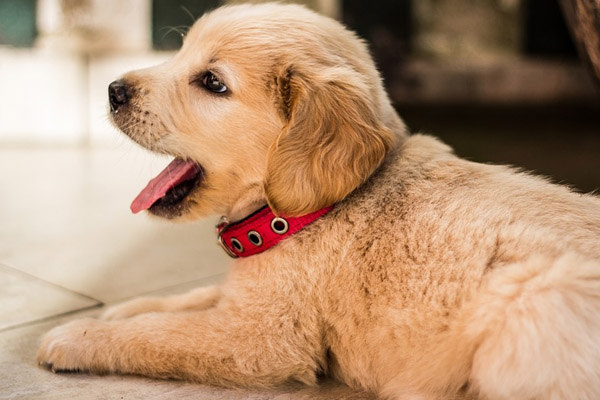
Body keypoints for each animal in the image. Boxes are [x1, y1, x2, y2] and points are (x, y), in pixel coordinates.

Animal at [38, 3, 600, 400]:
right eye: (181, 54)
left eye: (212, 82)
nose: (113, 90)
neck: (302, 214)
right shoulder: (248, 297)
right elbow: (187, 299)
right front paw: (121, 310)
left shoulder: (259, 339)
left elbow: (160, 334)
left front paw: (78, 335)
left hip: (528, 302)